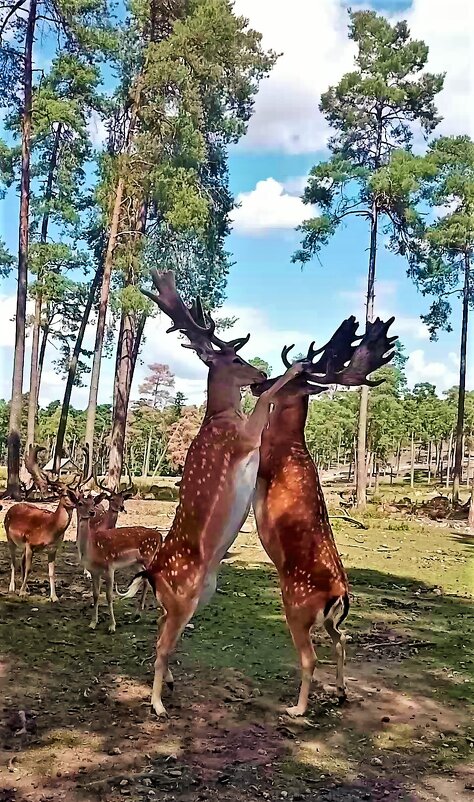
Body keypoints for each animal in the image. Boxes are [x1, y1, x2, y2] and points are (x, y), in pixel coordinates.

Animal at [75, 494, 162, 632]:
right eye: (80, 503)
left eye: (93, 503)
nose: (92, 512)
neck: (92, 550)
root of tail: (159, 535)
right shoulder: (94, 571)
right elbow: (95, 595)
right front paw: (93, 623)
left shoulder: (109, 567)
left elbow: (109, 596)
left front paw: (112, 626)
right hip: (136, 563)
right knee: (145, 580)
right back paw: (137, 614)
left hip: (149, 556)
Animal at [122, 268, 308, 712]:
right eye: (237, 359)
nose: (259, 375)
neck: (224, 417)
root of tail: (154, 573)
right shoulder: (243, 438)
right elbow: (266, 407)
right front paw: (295, 370)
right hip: (184, 596)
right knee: (161, 644)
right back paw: (157, 705)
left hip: (196, 597)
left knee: (161, 632)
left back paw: (170, 685)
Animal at [252, 316, 396, 716]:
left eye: (284, 377)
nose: (256, 383)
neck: (288, 441)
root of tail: (340, 595)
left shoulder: (263, 463)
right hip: (327, 620)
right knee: (342, 637)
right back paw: (342, 691)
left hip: (296, 608)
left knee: (310, 656)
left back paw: (297, 709)